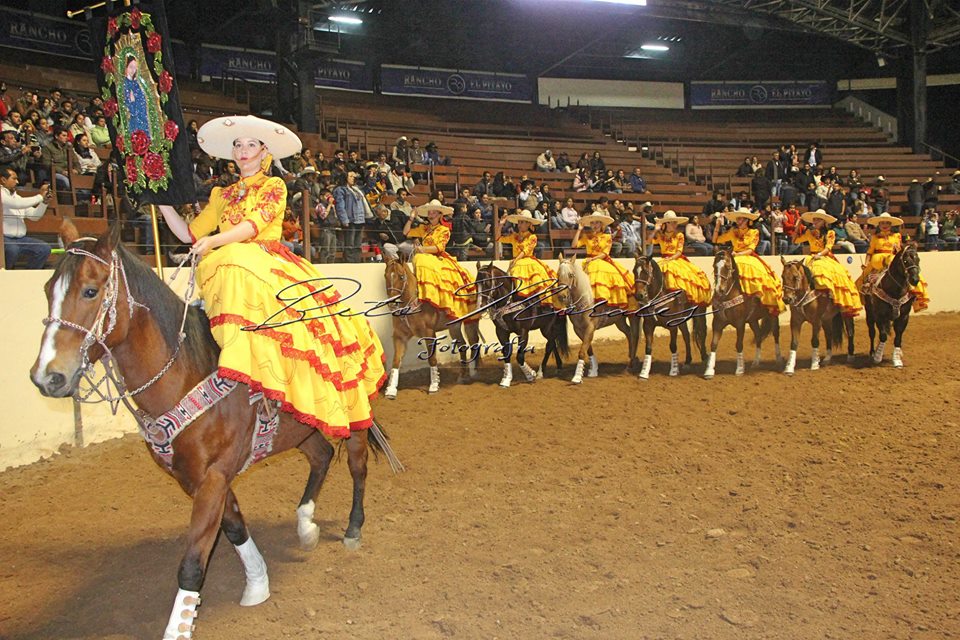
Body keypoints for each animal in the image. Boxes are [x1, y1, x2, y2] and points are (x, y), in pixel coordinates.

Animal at [32, 226, 394, 640]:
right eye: (48, 289)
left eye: (91, 291)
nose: (47, 376)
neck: (186, 373)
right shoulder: (195, 477)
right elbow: (233, 526)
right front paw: (257, 583)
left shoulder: (214, 476)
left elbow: (192, 562)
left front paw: (179, 626)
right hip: (301, 427)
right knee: (321, 456)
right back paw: (305, 526)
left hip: (355, 418)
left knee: (357, 466)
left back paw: (352, 529)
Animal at [378, 254, 476, 396]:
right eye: (386, 276)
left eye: (401, 276)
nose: (392, 304)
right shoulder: (399, 336)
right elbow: (396, 361)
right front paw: (391, 389)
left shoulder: (429, 333)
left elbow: (432, 359)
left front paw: (434, 385)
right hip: (454, 326)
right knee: (462, 344)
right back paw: (462, 376)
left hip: (471, 321)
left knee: (474, 341)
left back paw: (473, 372)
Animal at [556, 255, 636, 384]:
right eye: (558, 274)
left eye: (571, 275)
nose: (561, 296)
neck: (586, 299)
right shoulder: (578, 329)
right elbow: (588, 348)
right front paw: (593, 370)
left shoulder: (590, 327)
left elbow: (582, 352)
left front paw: (577, 377)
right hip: (619, 320)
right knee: (629, 333)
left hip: (631, 315)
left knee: (634, 334)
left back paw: (631, 363)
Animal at [700, 249, 784, 380]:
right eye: (714, 266)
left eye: (727, 266)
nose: (719, 289)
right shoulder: (717, 323)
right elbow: (713, 344)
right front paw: (709, 371)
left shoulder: (740, 323)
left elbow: (739, 344)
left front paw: (739, 369)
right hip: (753, 320)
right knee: (758, 336)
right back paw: (755, 362)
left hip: (773, 315)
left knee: (776, 334)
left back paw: (779, 359)